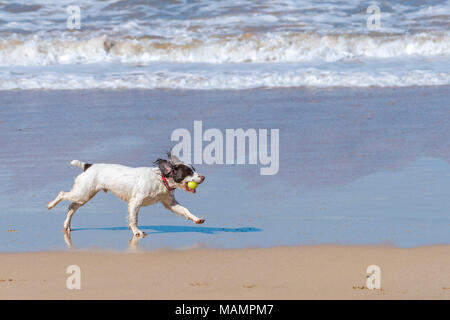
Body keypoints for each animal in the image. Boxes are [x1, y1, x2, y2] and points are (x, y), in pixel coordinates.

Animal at [46, 152, 206, 238]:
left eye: (194, 169)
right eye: (189, 172)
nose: (203, 177)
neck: (161, 179)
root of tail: (88, 166)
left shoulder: (170, 203)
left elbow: (185, 211)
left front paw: (197, 219)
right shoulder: (135, 202)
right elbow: (133, 219)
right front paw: (136, 232)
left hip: (85, 195)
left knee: (71, 207)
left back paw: (67, 226)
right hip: (82, 193)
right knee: (62, 194)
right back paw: (50, 205)